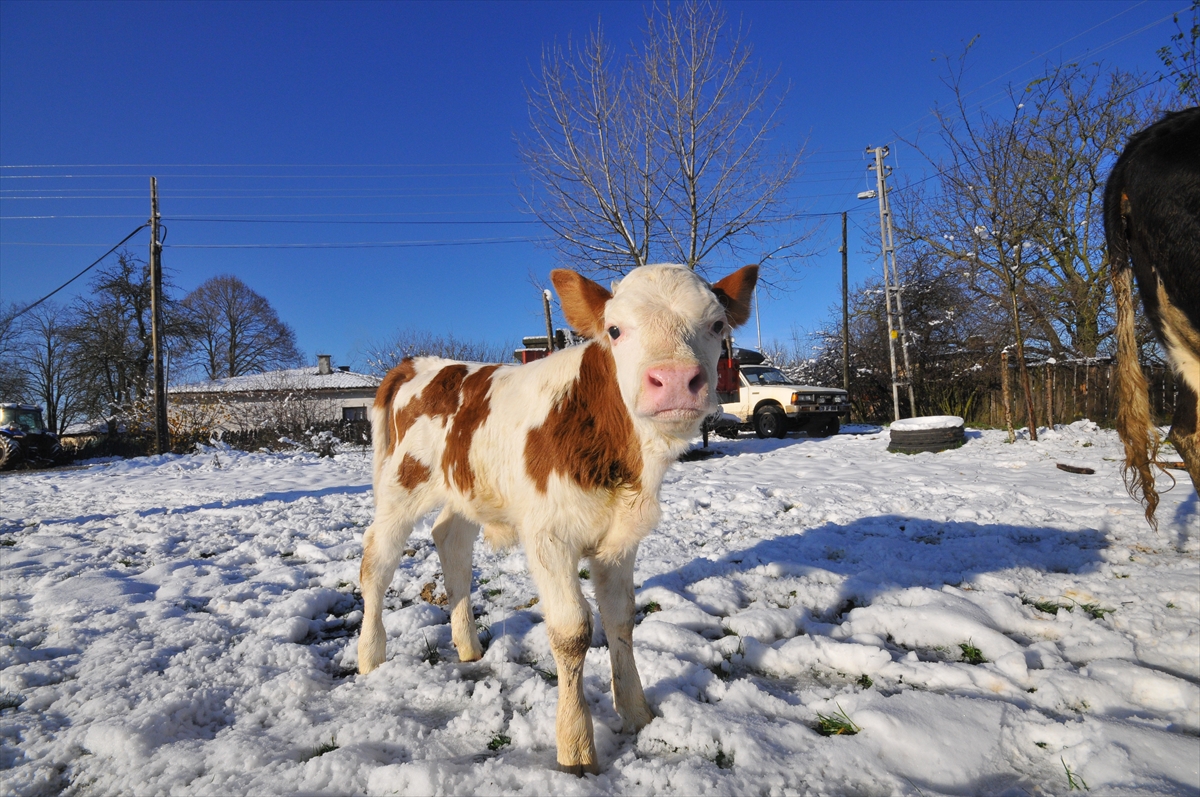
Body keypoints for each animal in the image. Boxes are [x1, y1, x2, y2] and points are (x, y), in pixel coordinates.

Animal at [352, 261, 758, 772]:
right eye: (615, 330)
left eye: (718, 325)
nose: (675, 379)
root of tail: (419, 363)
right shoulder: (549, 538)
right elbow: (572, 632)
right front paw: (576, 747)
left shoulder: (621, 540)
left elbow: (621, 619)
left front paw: (637, 713)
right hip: (400, 485)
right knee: (377, 562)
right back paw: (370, 656)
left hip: (464, 488)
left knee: (451, 541)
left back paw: (468, 646)